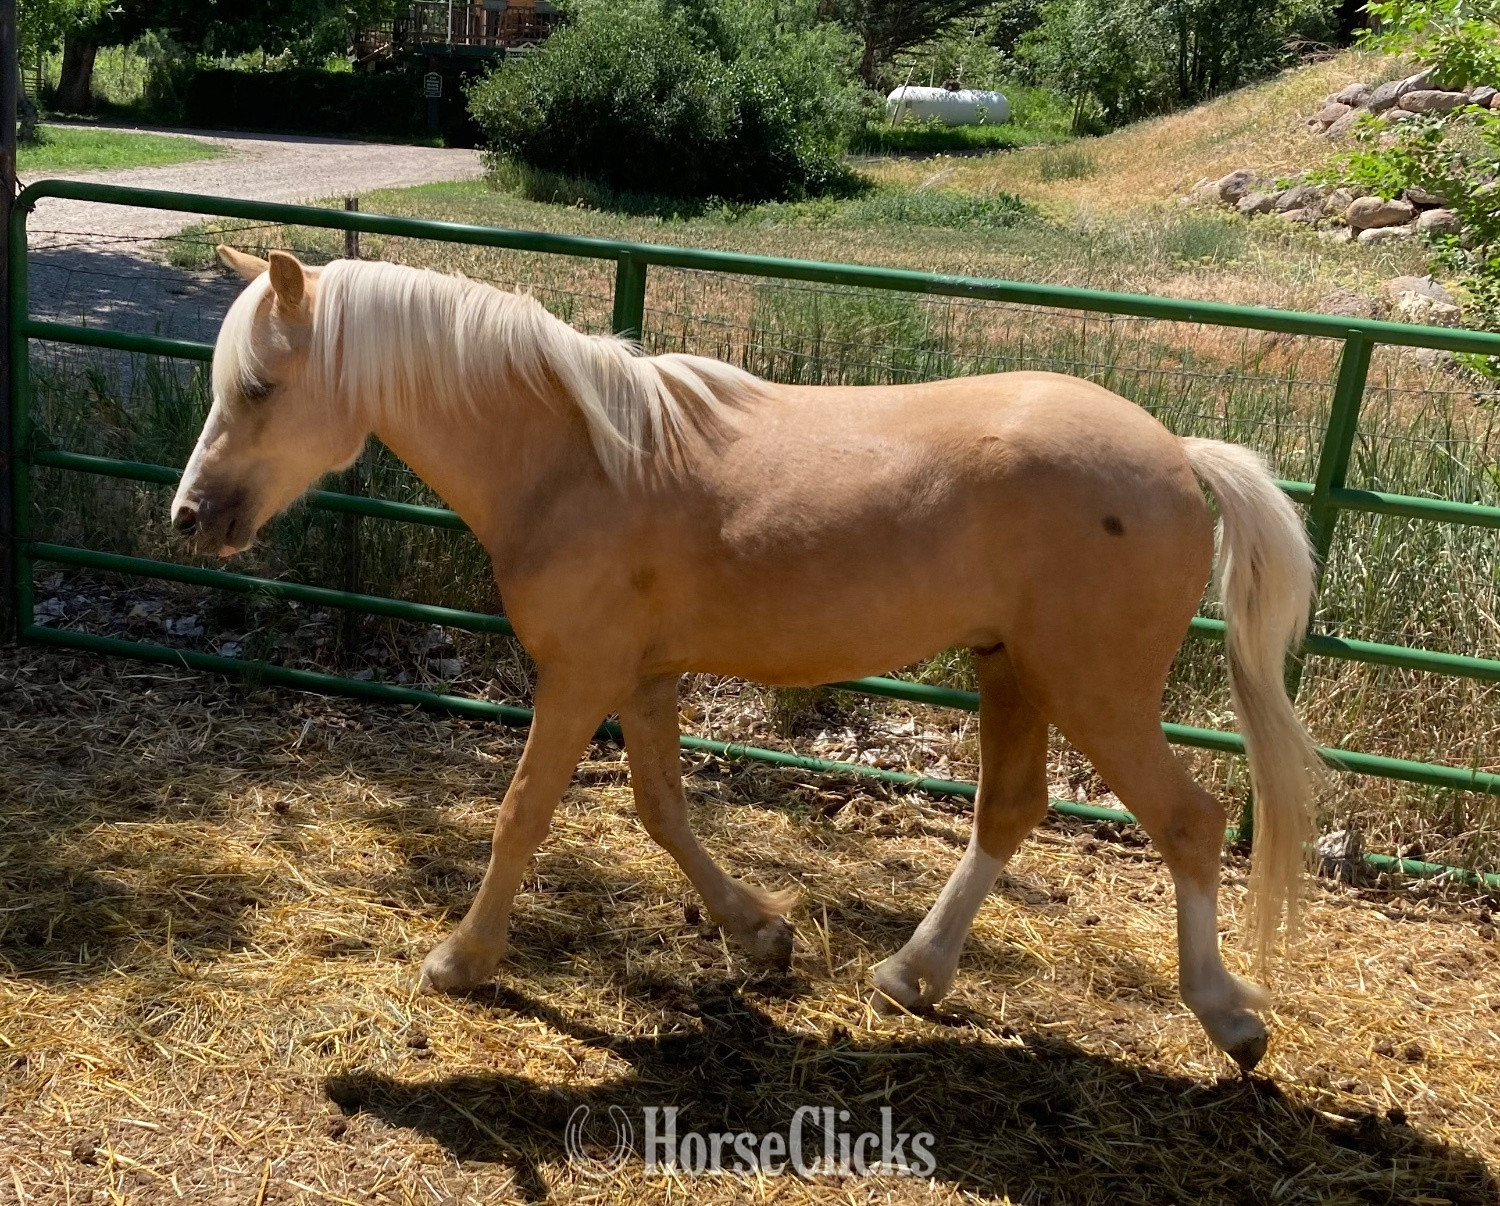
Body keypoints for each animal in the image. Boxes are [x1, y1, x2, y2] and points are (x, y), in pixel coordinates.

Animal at [173, 246, 1322, 1073]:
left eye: (262, 385)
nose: (191, 517)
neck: (579, 464)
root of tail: (1179, 455)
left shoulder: (579, 677)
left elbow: (522, 814)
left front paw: (462, 960)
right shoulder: (639, 678)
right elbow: (660, 810)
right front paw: (762, 937)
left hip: (1095, 687)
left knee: (1189, 821)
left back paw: (1231, 1018)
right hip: (1013, 671)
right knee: (1008, 813)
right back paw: (910, 975)